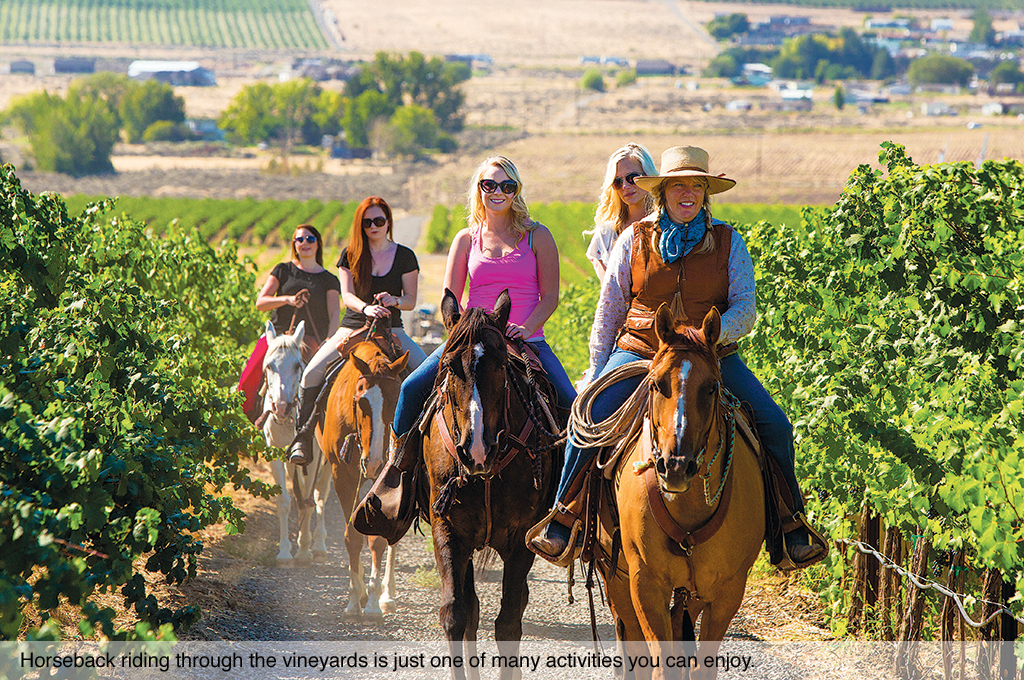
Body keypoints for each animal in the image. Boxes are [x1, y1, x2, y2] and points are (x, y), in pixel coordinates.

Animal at [260, 321, 331, 565]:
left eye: (297, 366)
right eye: (269, 366)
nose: (281, 407)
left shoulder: (314, 458)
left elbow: (309, 500)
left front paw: (304, 548)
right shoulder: (275, 453)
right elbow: (284, 501)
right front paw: (284, 551)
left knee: (320, 496)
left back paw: (318, 545)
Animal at [323, 337, 411, 618]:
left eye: (396, 401)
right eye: (361, 402)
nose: (373, 464)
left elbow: (379, 541)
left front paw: (372, 603)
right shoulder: (341, 476)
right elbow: (352, 536)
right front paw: (354, 598)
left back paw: (387, 595)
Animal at [421, 288, 561, 680]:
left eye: (501, 365)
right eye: (449, 365)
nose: (477, 450)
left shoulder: (521, 538)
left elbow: (509, 623)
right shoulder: (449, 530)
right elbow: (456, 615)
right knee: (471, 608)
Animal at [598, 307, 765, 680]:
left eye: (711, 387)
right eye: (656, 383)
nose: (675, 466)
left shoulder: (726, 591)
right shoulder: (644, 583)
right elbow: (658, 659)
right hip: (614, 572)